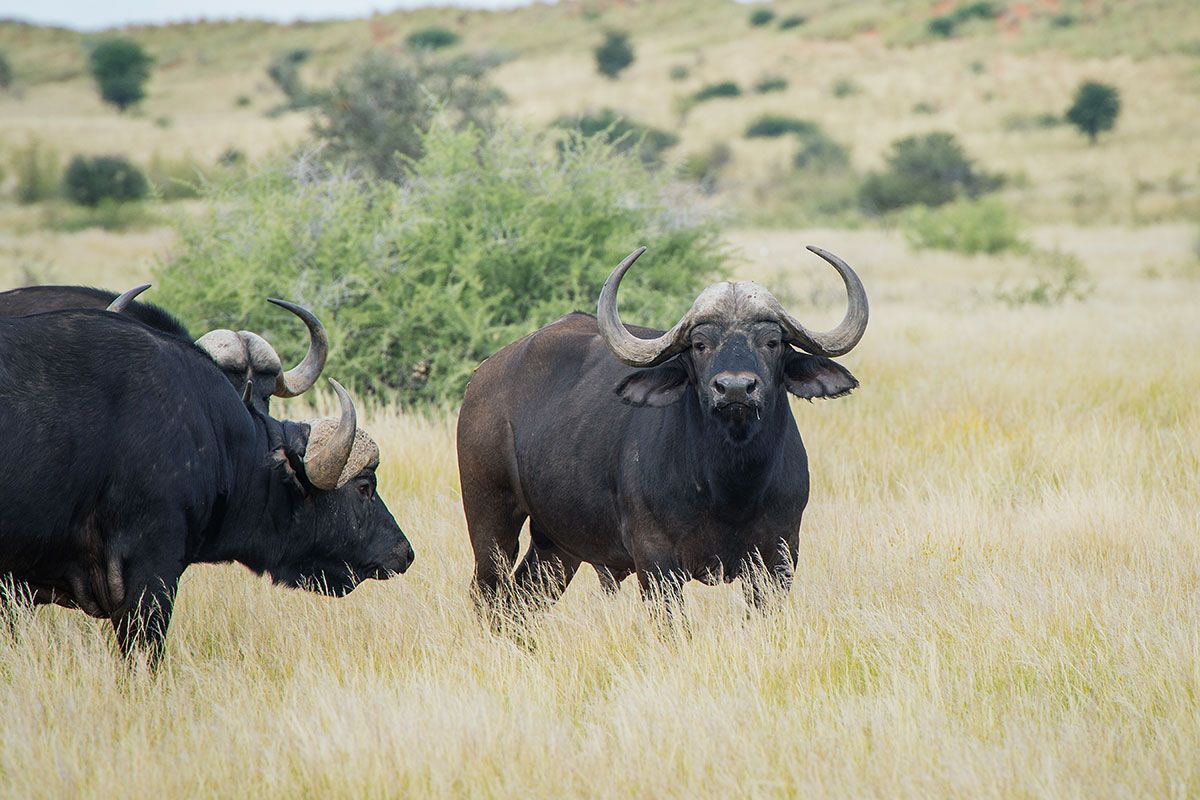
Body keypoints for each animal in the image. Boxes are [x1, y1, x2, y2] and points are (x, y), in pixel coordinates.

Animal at [457, 246, 867, 611]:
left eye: (772, 341)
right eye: (700, 344)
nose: (735, 388)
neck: (731, 486)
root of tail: (481, 378)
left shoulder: (779, 556)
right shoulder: (656, 564)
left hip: (556, 544)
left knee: (523, 599)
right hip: (490, 522)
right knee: (488, 595)